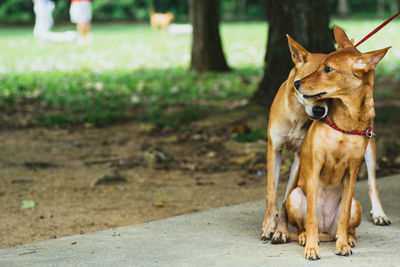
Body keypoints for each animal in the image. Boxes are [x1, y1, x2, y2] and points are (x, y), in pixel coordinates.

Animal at [262, 29, 390, 245]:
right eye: (302, 91)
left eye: (329, 99)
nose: (320, 111)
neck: (298, 116)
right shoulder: (275, 148)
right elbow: (271, 191)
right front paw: (269, 225)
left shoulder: (300, 156)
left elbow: (286, 196)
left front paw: (281, 230)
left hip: (369, 148)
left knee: (372, 182)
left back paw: (378, 214)